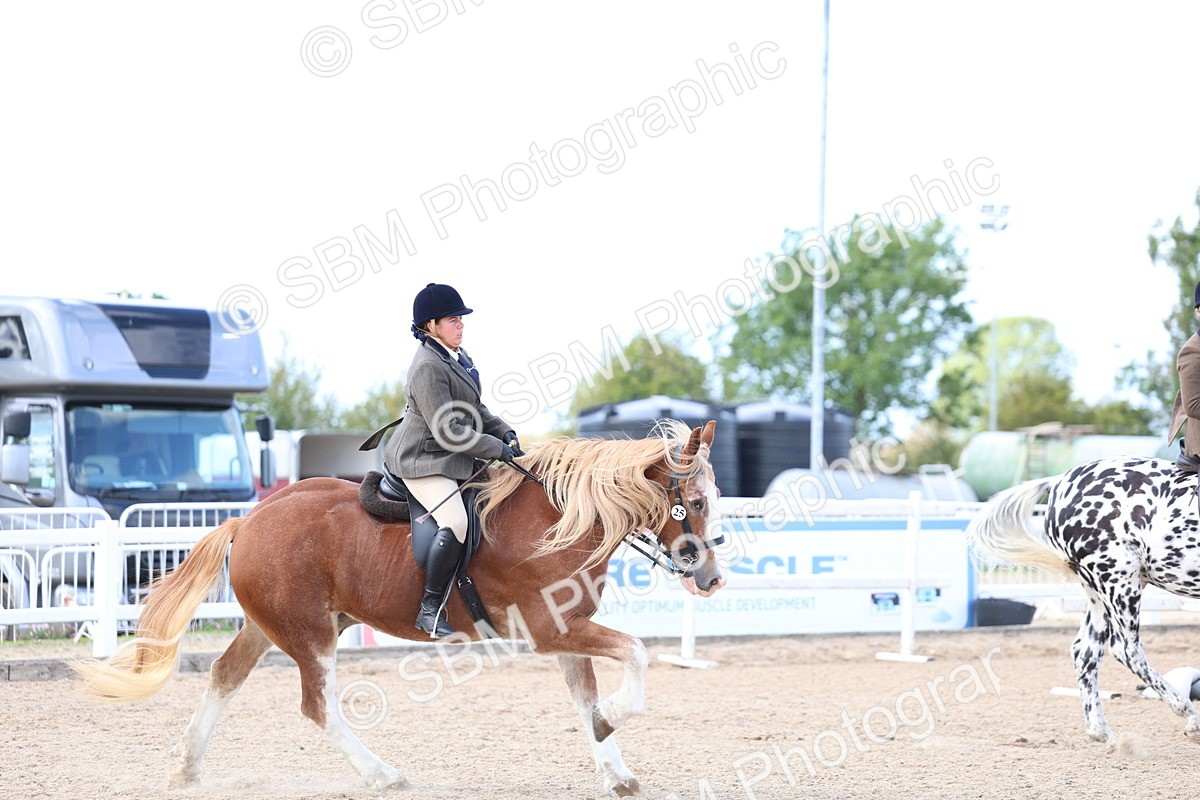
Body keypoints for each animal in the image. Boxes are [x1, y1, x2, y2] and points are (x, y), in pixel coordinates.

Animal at [68, 419, 727, 796]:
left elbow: (587, 702)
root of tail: (250, 518)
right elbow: (635, 656)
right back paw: (383, 774)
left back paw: (187, 769)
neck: (557, 519)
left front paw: (615, 767)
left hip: (271, 625)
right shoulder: (552, 629)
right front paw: (615, 718)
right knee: (317, 706)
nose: (713, 579)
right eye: (694, 501)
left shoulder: (569, 631)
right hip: (310, 634)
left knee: (225, 676)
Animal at [967, 454, 1200, 745]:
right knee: (1126, 650)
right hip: (1120, 580)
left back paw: (1102, 732)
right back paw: (1189, 715)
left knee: (1085, 650)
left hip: (1097, 590)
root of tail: (1059, 482)